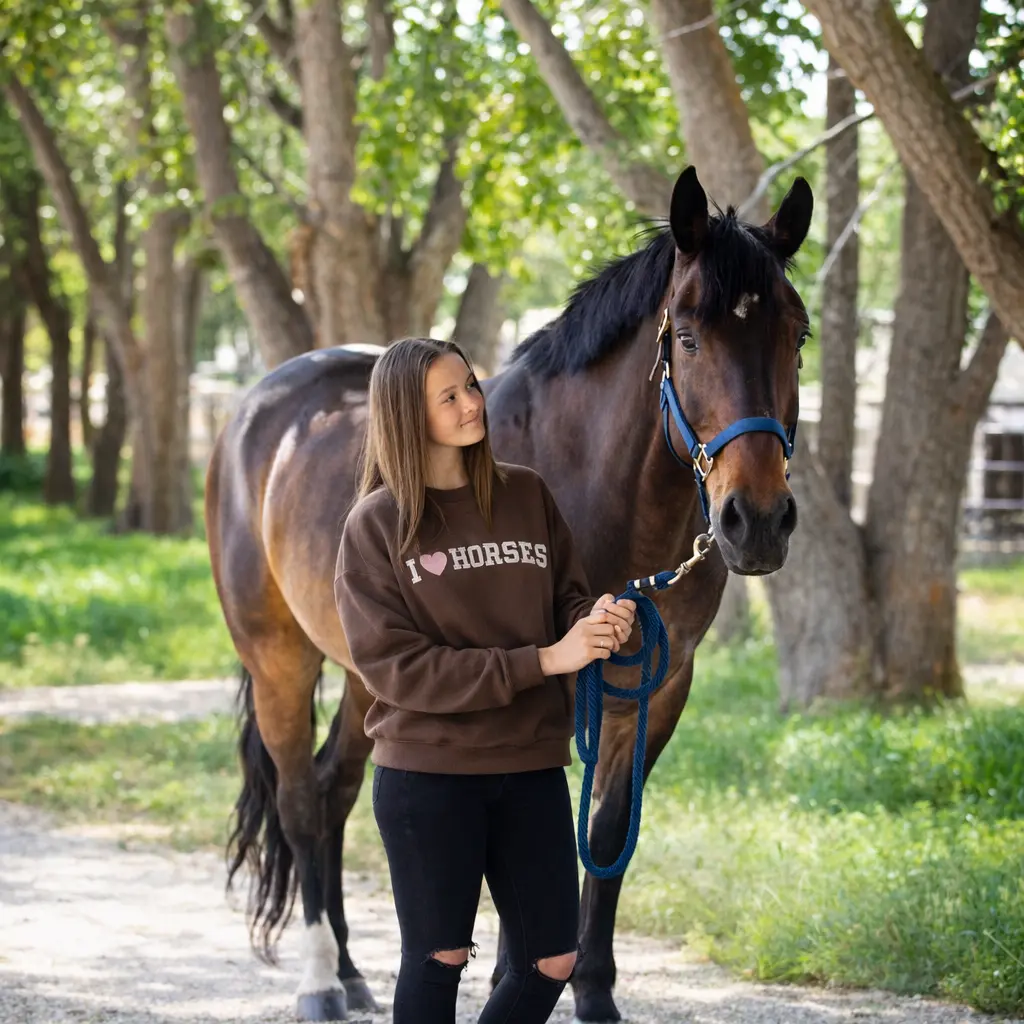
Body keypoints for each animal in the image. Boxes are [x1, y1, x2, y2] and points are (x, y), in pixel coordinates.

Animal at [204, 165, 813, 1022]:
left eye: (797, 336)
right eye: (689, 337)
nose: (755, 521)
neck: (596, 486)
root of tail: (257, 410)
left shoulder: (660, 688)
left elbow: (607, 834)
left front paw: (594, 994)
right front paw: (513, 981)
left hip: (370, 678)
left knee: (332, 791)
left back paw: (354, 972)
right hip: (279, 661)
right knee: (296, 799)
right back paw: (321, 980)